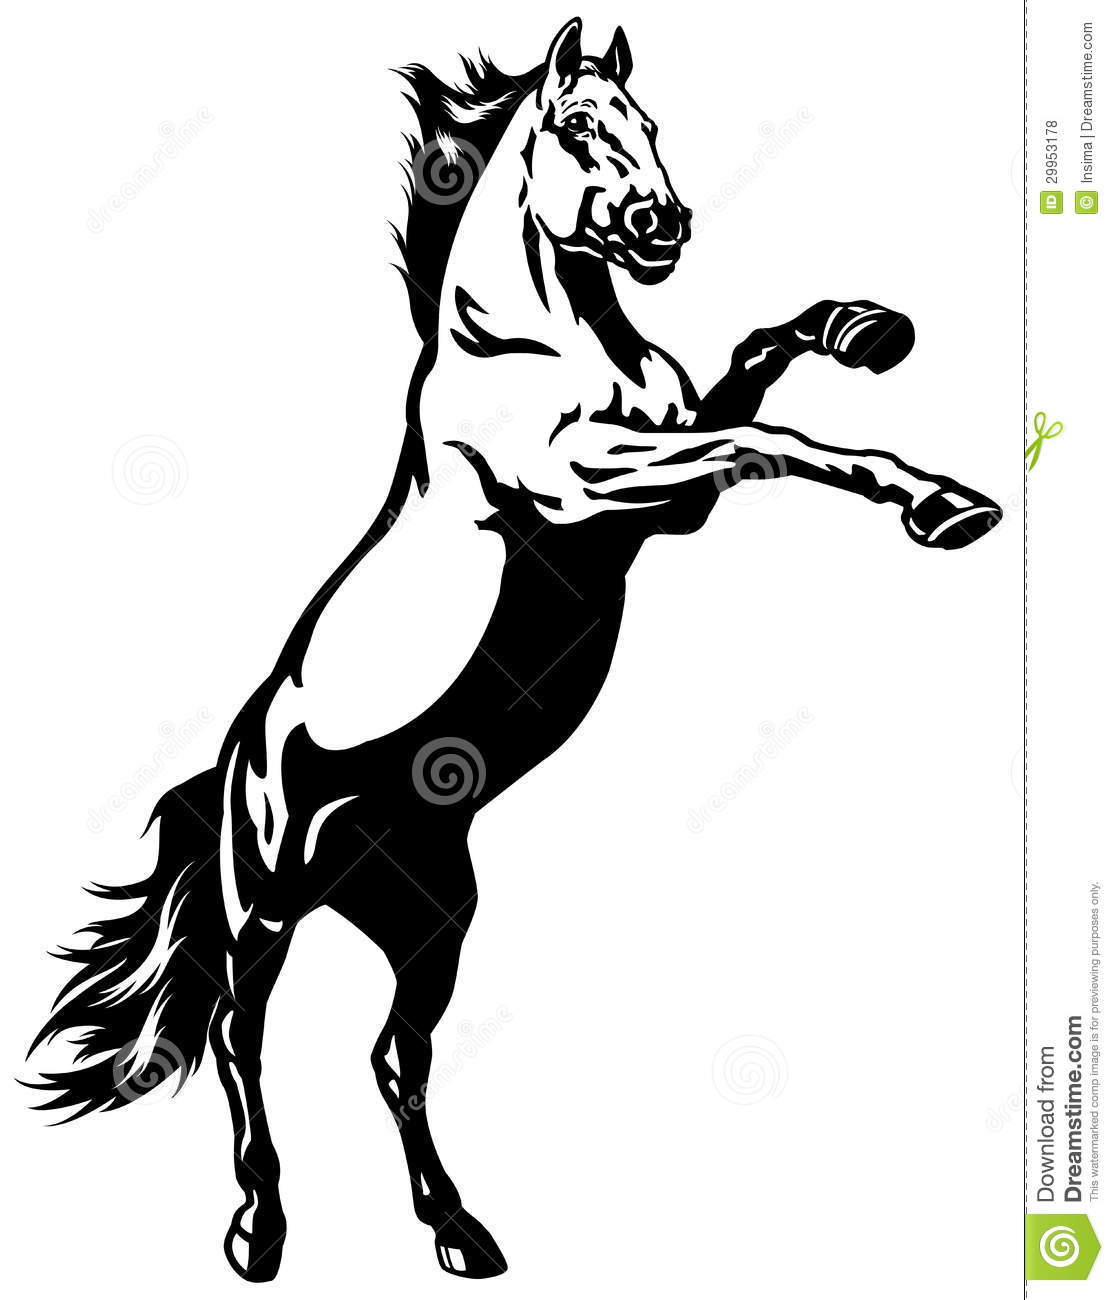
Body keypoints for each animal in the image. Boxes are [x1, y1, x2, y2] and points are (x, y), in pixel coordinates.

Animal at [28, 18, 1001, 1284]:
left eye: (649, 122)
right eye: (579, 127)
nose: (662, 225)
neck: (548, 343)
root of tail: (231, 760)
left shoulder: (667, 492)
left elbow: (753, 372)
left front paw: (864, 330)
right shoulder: (598, 484)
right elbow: (773, 437)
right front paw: (943, 503)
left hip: (431, 923)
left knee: (395, 1058)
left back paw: (459, 1231)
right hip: (268, 906)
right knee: (243, 1035)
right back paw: (258, 1230)